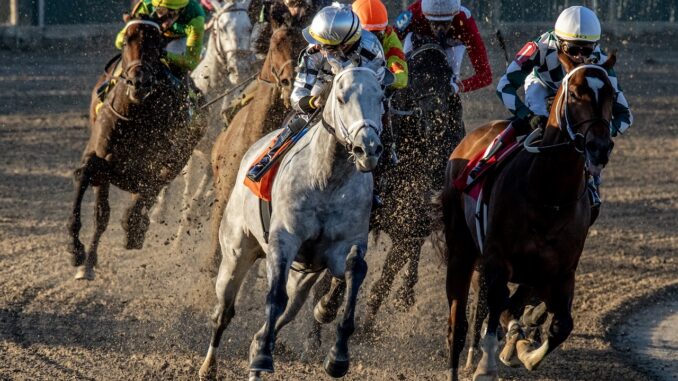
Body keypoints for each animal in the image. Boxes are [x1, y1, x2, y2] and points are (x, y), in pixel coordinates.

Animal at [67, 16, 203, 280]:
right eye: (126, 40)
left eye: (157, 42)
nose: (139, 82)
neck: (135, 116)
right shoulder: (98, 158)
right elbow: (86, 176)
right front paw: (75, 248)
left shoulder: (153, 167)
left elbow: (148, 190)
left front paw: (134, 226)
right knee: (102, 214)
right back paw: (89, 262)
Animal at [199, 67, 386, 378]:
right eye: (341, 98)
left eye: (381, 98)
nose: (367, 149)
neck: (326, 180)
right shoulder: (283, 241)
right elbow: (274, 297)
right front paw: (263, 356)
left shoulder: (344, 247)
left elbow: (354, 271)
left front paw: (337, 356)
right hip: (236, 251)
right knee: (224, 311)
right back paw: (209, 366)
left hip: (302, 278)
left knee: (288, 309)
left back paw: (257, 350)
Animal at [438, 51, 620, 380]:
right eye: (575, 93)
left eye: (611, 94)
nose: (599, 147)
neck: (548, 196)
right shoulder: (497, 259)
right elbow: (498, 303)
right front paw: (488, 364)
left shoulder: (560, 272)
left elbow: (561, 325)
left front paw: (525, 352)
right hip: (461, 249)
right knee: (457, 326)